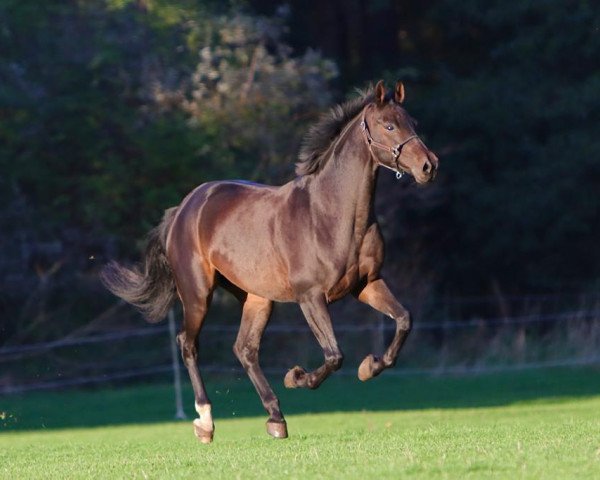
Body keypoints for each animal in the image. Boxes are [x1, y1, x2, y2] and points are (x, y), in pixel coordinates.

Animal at [102, 79, 440, 442]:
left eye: (413, 122)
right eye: (388, 125)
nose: (429, 166)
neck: (332, 214)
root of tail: (183, 209)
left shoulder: (367, 285)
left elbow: (403, 320)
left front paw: (369, 367)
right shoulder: (311, 297)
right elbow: (334, 355)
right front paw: (296, 376)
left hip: (257, 297)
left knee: (245, 349)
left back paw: (276, 419)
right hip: (197, 294)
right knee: (188, 344)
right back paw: (205, 423)